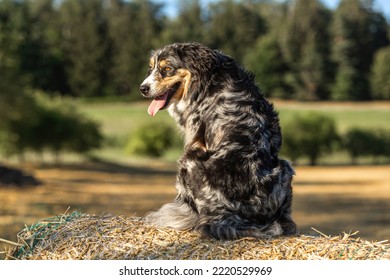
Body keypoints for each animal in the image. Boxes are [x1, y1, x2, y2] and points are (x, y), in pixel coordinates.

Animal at [139, 42, 296, 240]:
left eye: (167, 69)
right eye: (151, 68)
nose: (143, 88)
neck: (208, 78)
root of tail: (232, 216)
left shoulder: (195, 137)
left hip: (190, 158)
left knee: (197, 215)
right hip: (286, 167)